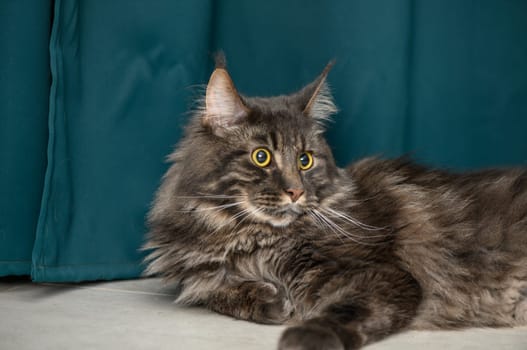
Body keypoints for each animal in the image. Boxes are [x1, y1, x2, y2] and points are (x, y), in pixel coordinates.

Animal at [144, 56, 527, 348]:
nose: (296, 192)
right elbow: (217, 293)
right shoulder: (201, 279)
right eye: (261, 156)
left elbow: (343, 312)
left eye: (305, 160)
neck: (249, 237)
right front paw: (268, 300)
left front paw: (304, 337)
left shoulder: (381, 275)